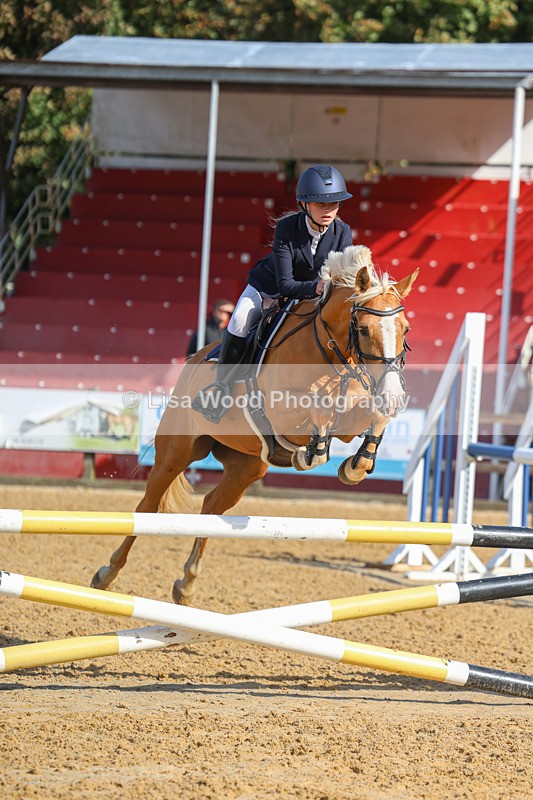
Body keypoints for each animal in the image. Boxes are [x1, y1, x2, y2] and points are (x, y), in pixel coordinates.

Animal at [91, 245, 418, 603]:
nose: (392, 393)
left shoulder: (353, 413)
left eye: (405, 328)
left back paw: (186, 584)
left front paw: (356, 465)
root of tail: (195, 359)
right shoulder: (284, 411)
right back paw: (106, 574)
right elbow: (318, 404)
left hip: (246, 466)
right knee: (148, 507)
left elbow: (374, 415)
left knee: (211, 508)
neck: (331, 354)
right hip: (177, 451)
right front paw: (313, 452)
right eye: (362, 329)